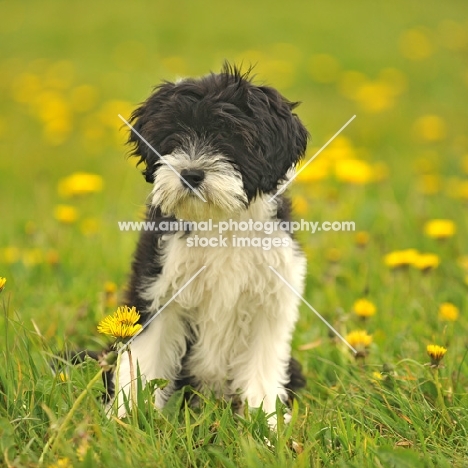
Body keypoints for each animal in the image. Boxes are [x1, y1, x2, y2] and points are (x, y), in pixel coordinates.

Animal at [114, 64, 308, 426]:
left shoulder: (270, 301)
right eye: (174, 136)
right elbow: (144, 361)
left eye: (230, 136)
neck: (219, 223)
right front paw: (127, 421)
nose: (190, 173)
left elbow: (262, 370)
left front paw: (267, 425)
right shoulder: (158, 290)